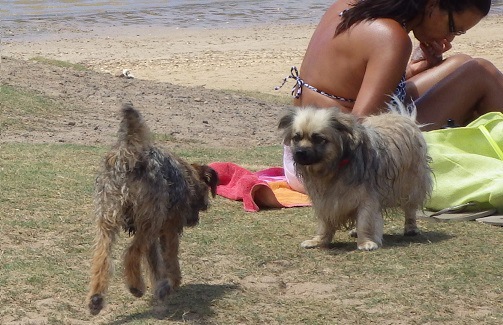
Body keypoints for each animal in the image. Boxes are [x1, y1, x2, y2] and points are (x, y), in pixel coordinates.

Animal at [87, 103, 220, 314]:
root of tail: (128, 154)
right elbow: (170, 260)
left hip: (107, 221)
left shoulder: (156, 235)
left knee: (102, 258)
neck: (186, 176)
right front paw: (171, 284)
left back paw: (96, 299)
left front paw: (161, 286)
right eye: (206, 191)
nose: (198, 217)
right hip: (149, 220)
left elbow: (155, 262)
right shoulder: (169, 229)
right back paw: (135, 286)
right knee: (130, 253)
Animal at [280, 101, 434, 251]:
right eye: (296, 138)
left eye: (318, 139)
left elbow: (365, 221)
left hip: (411, 185)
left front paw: (366, 242)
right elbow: (325, 223)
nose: (300, 152)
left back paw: (410, 227)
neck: (334, 167)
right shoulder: (325, 200)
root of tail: (404, 118)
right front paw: (319, 240)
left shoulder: (368, 198)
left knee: (410, 207)